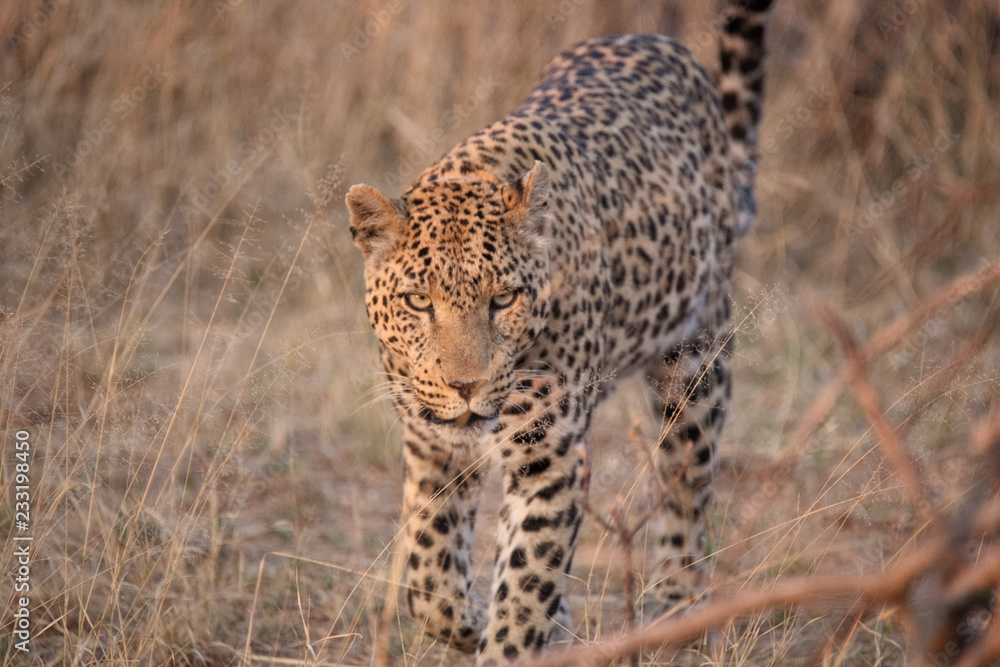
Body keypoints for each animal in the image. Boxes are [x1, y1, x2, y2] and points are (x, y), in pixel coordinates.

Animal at [345, 1, 773, 662]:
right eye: (418, 301)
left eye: (503, 299)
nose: (466, 388)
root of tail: (656, 41)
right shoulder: (431, 446)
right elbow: (429, 574)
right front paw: (469, 620)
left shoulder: (550, 460)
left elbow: (525, 587)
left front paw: (508, 638)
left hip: (697, 358)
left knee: (688, 482)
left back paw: (675, 605)